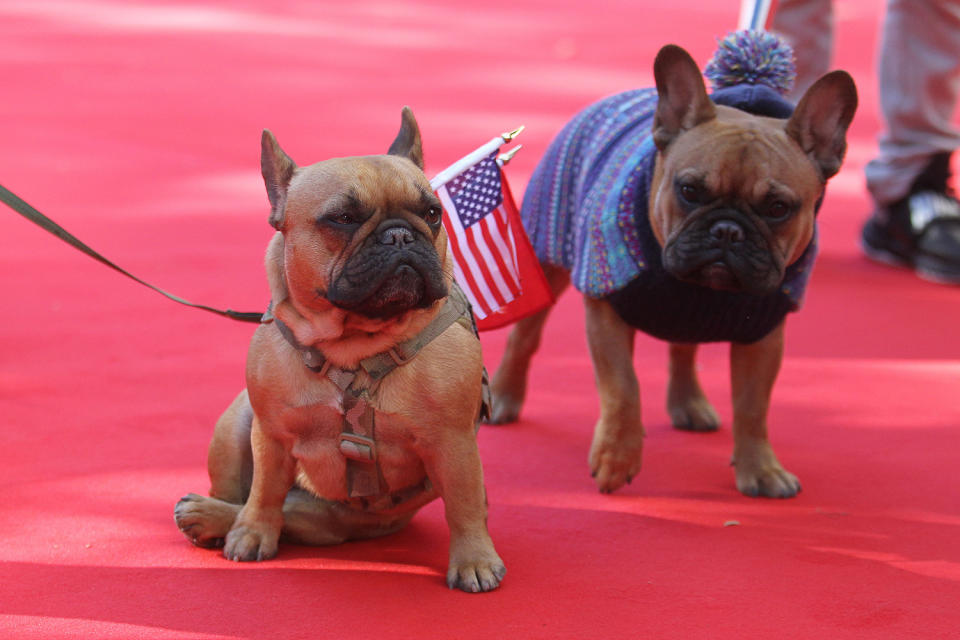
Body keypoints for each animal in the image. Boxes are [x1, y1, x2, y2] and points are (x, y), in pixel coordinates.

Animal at [173, 107, 506, 592]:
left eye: (432, 212)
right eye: (344, 217)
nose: (400, 235)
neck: (354, 342)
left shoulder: (453, 442)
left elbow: (464, 502)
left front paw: (475, 560)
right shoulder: (271, 434)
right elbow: (265, 489)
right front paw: (252, 534)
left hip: (333, 521)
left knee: (296, 515)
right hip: (235, 424)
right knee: (248, 496)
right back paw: (214, 516)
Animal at [492, 36, 860, 500]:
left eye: (778, 208)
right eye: (689, 190)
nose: (727, 230)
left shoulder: (764, 337)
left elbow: (753, 406)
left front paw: (761, 467)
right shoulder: (605, 311)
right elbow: (623, 387)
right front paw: (617, 457)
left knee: (684, 348)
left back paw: (689, 403)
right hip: (548, 263)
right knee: (524, 337)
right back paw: (504, 396)